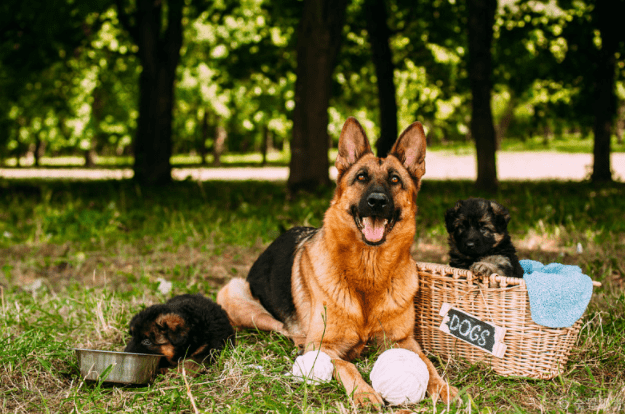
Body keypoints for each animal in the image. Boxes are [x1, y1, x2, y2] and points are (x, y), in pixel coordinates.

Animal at [217, 117, 456, 408]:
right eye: (361, 177)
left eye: (395, 180)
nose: (377, 202)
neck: (369, 272)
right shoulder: (324, 347)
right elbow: (346, 366)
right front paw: (364, 392)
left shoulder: (403, 340)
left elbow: (427, 364)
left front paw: (443, 388)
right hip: (234, 294)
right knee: (281, 328)